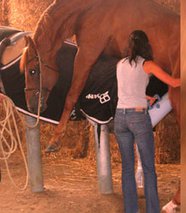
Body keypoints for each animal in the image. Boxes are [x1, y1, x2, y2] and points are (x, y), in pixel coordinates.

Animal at [20, 0, 180, 153]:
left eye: (32, 71)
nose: (31, 106)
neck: (88, 9)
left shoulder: (86, 54)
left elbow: (72, 96)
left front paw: (56, 139)